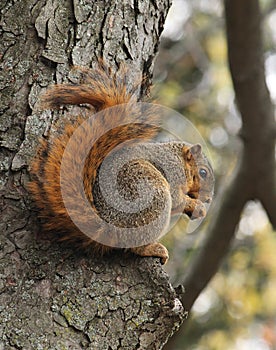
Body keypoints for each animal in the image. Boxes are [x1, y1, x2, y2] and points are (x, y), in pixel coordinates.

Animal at [28, 64, 215, 264]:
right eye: (203, 172)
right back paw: (153, 248)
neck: (178, 157)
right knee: (137, 244)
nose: (208, 199)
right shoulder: (172, 170)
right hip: (151, 197)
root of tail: (108, 229)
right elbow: (177, 198)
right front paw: (196, 206)